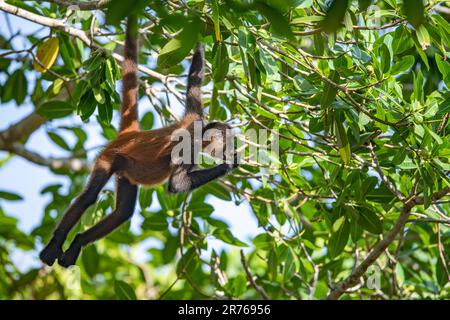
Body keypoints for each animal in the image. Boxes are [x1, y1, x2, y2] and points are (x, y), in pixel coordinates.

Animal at [39, 15, 239, 268]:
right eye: (228, 141)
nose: (231, 148)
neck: (198, 131)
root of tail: (129, 134)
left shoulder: (196, 115)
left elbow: (194, 80)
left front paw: (201, 41)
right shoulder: (189, 143)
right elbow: (176, 184)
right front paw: (228, 165)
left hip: (125, 169)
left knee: (123, 212)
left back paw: (77, 243)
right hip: (108, 157)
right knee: (88, 197)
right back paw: (54, 246)